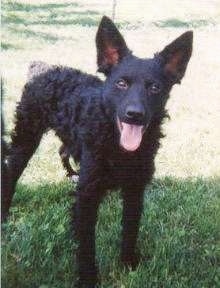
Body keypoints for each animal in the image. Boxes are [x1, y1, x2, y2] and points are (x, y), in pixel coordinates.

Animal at [3, 16, 192, 286]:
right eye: (121, 83)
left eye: (155, 88)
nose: (134, 114)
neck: (116, 145)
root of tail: (40, 67)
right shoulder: (88, 196)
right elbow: (86, 244)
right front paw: (88, 278)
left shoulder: (135, 189)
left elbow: (130, 230)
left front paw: (128, 265)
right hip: (26, 138)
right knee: (11, 171)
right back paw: (4, 214)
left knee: (63, 151)